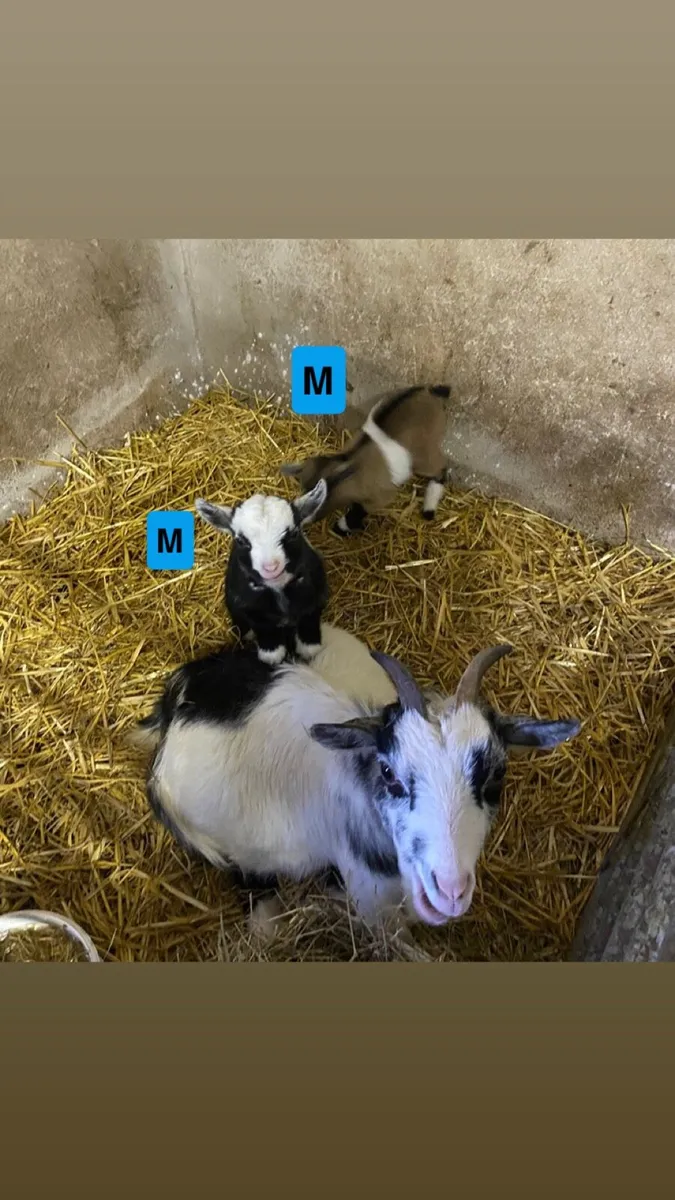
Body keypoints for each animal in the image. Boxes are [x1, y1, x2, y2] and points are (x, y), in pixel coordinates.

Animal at [195, 479, 328, 666]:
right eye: (240, 540)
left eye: (294, 533)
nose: (271, 567)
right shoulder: (251, 609)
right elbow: (267, 636)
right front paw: (272, 655)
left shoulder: (315, 595)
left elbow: (310, 626)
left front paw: (309, 648)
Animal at [280, 384, 453, 538]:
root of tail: (430, 391)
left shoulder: (381, 497)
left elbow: (357, 512)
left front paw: (341, 528)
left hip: (426, 456)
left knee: (441, 468)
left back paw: (429, 510)